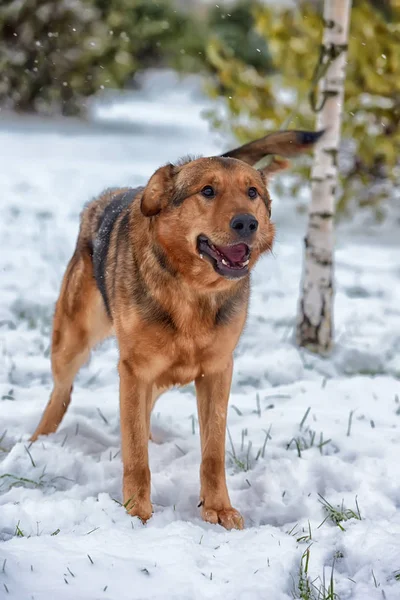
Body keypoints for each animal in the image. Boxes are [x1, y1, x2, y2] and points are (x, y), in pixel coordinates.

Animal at [32, 127, 322, 528]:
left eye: (252, 193)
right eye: (208, 191)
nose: (247, 223)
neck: (192, 290)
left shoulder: (217, 370)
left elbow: (212, 452)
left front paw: (218, 508)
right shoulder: (134, 369)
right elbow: (136, 455)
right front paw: (136, 513)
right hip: (72, 341)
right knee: (62, 393)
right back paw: (36, 443)